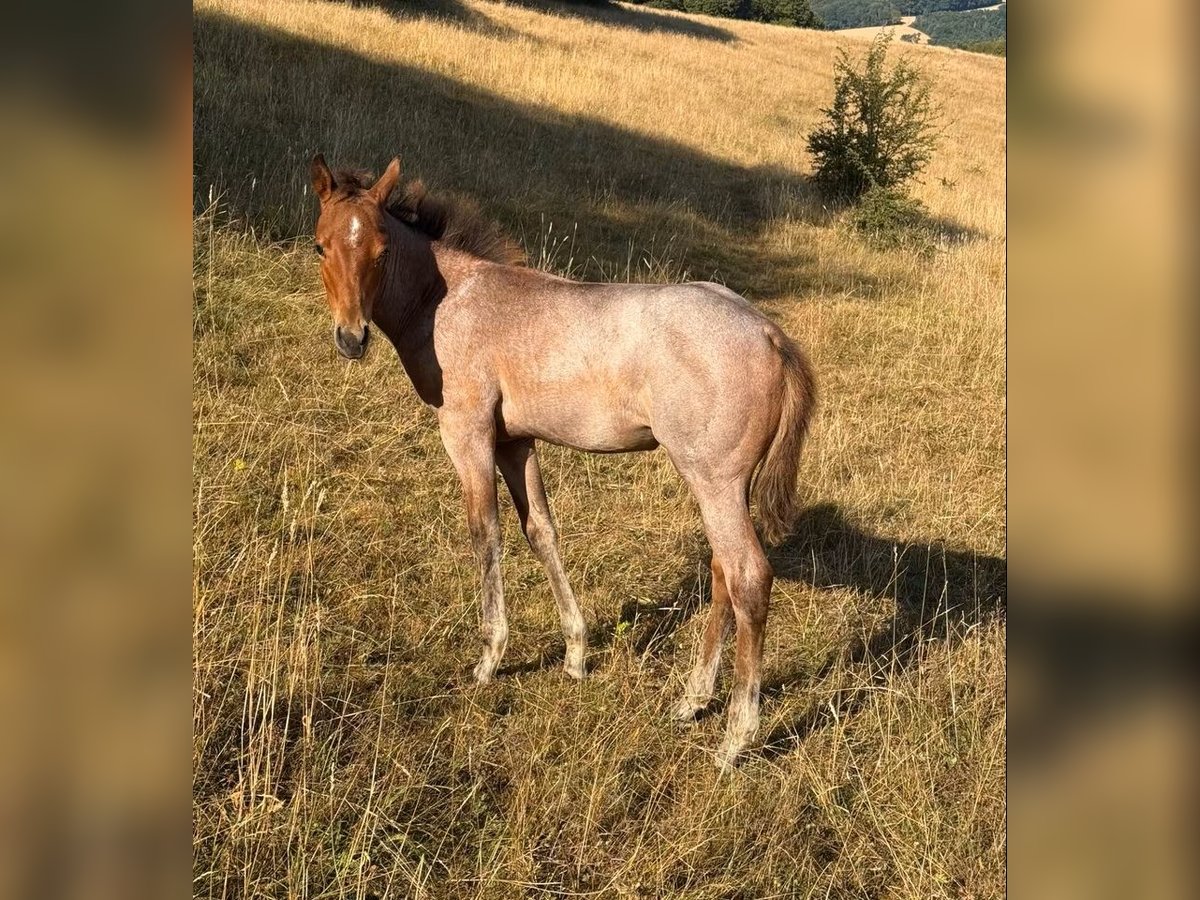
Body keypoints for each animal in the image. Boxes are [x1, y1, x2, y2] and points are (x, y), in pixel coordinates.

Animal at [309, 155, 816, 768]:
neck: (447, 299)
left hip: (714, 482)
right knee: (722, 572)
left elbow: (486, 533)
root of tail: (768, 332)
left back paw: (735, 738)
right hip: (722, 488)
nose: (351, 338)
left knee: (748, 578)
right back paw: (692, 701)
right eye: (320, 245)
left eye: (382, 249)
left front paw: (489, 658)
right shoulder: (515, 442)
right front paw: (575, 654)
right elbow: (541, 531)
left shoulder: (467, 433)